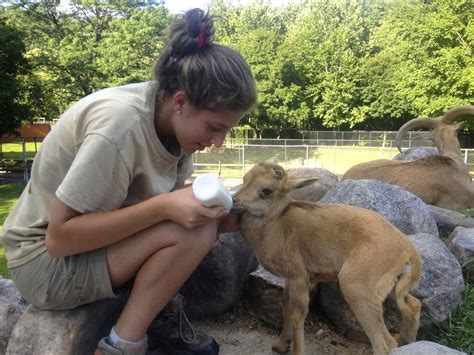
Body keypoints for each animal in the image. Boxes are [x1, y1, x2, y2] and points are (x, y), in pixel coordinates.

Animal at [231, 162, 420, 355]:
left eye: (267, 190)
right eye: (245, 179)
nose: (233, 201)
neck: (277, 225)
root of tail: (407, 246)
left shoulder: (299, 276)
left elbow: (297, 313)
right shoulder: (290, 279)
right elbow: (285, 304)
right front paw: (281, 344)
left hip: (357, 284)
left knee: (384, 343)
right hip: (388, 281)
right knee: (412, 303)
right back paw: (406, 339)